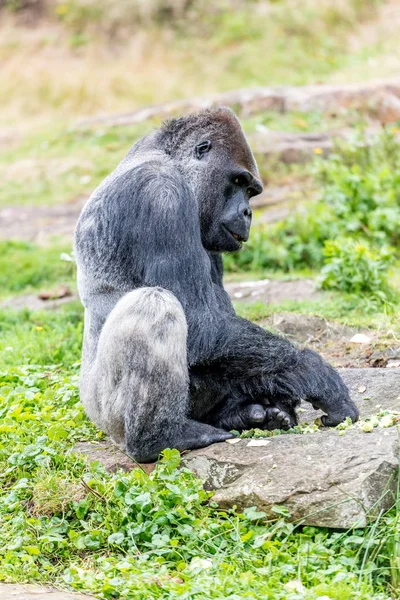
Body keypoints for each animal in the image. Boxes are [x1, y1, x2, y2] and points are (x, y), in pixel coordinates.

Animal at [75, 106, 360, 464]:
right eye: (238, 181)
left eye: (251, 191)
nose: (248, 212)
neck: (164, 156)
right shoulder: (161, 195)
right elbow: (199, 323)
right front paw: (314, 373)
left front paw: (277, 392)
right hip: (104, 414)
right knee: (155, 304)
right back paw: (159, 439)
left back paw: (240, 413)